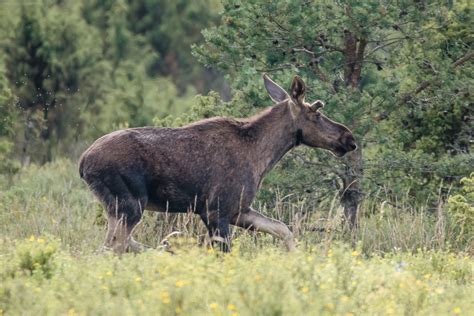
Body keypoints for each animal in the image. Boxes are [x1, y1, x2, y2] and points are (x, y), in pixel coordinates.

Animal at [79, 73, 356, 252]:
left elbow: (283, 230)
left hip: (120, 208)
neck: (262, 156)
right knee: (112, 246)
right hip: (129, 204)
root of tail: (82, 164)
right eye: (316, 114)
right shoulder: (216, 210)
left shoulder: (239, 209)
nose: (349, 138)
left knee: (118, 245)